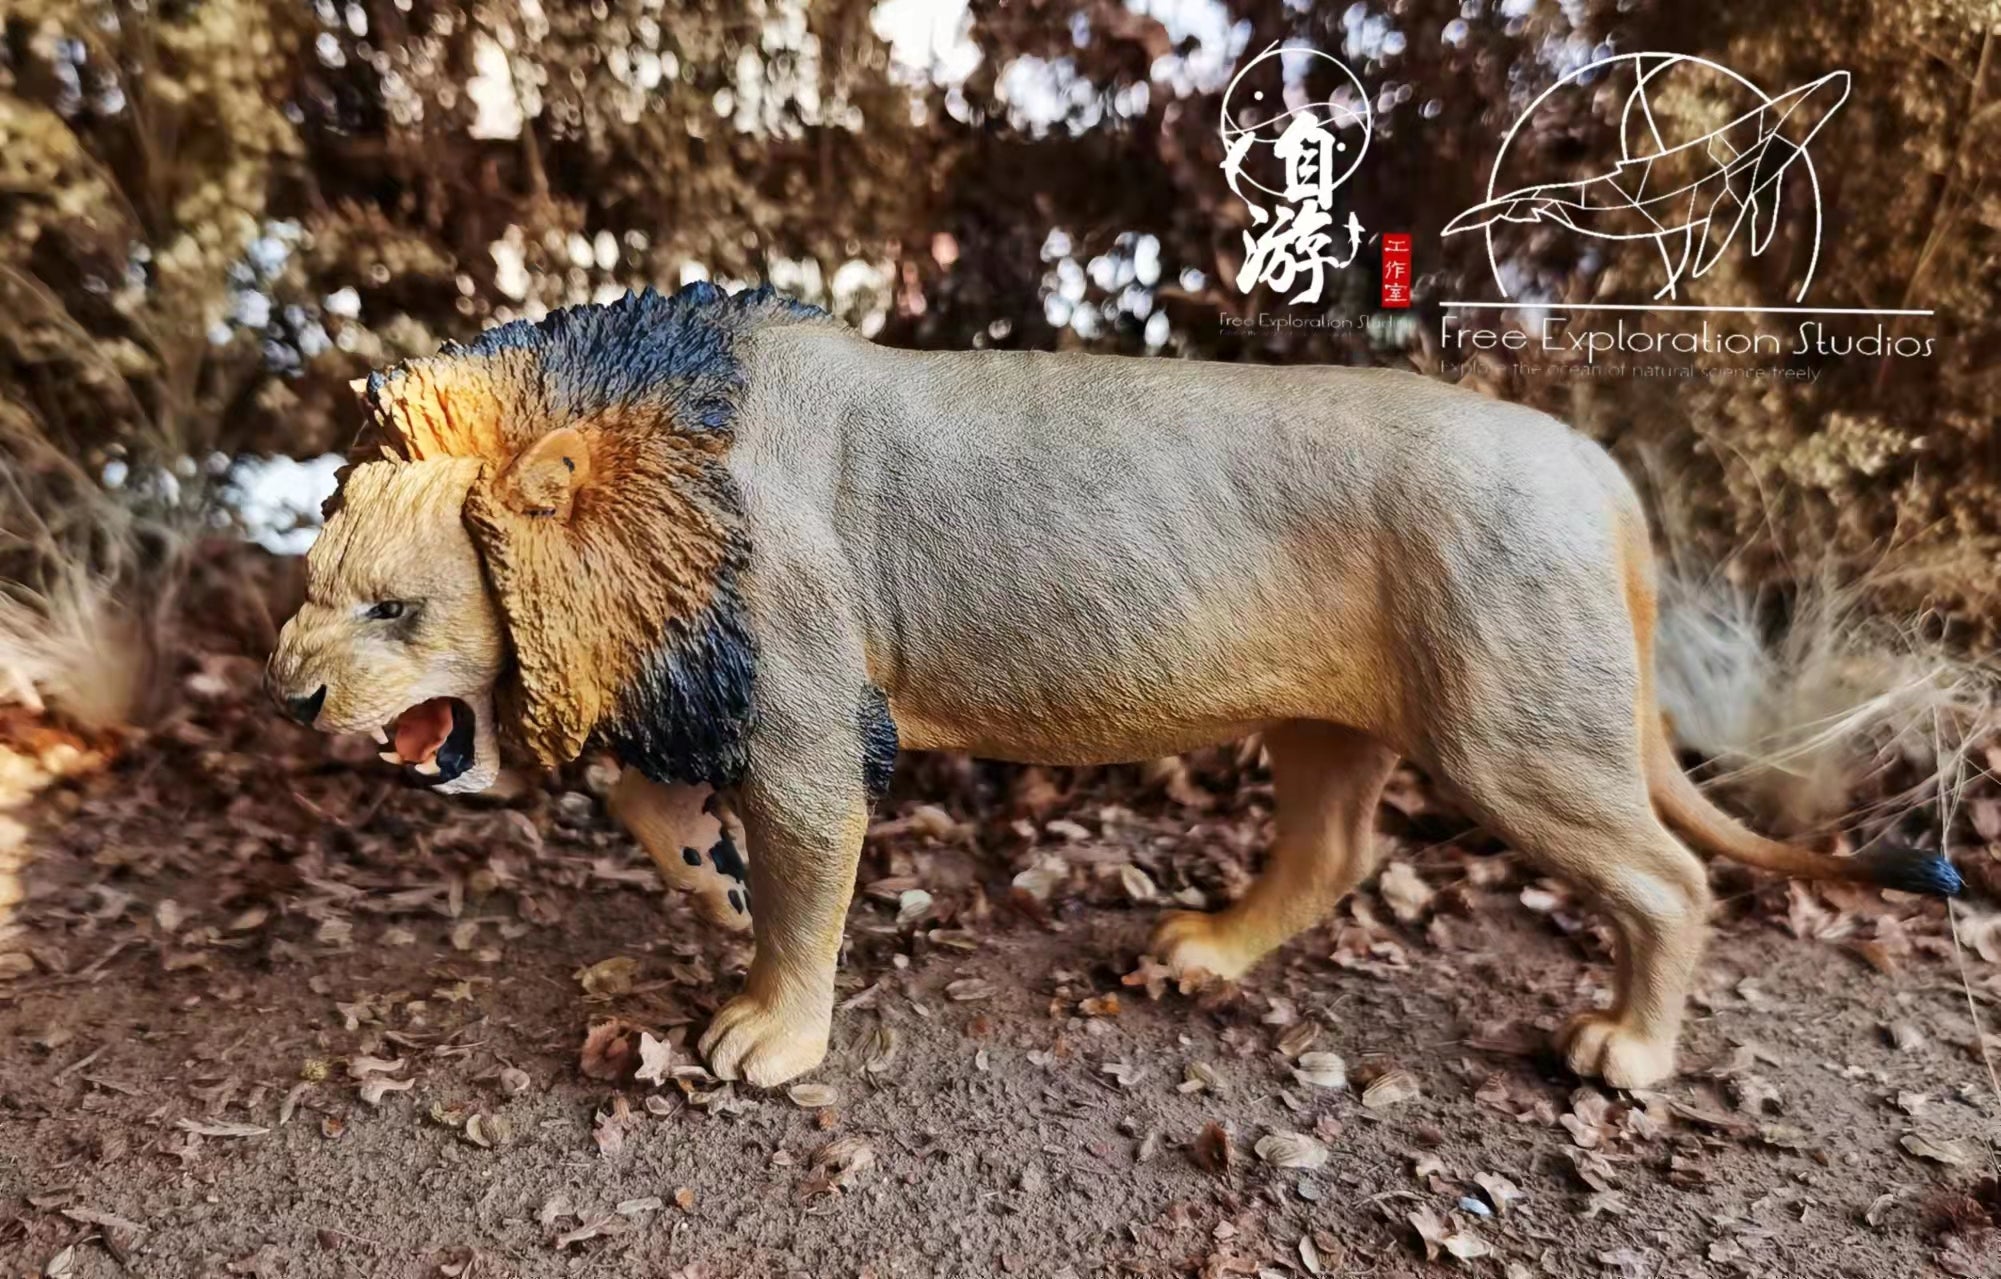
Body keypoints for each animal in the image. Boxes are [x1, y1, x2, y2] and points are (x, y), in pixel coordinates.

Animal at [268, 283, 1959, 1090]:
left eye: (397, 605)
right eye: (308, 580)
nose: (287, 693)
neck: (642, 487)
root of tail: (1596, 468)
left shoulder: (804, 723)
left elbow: (804, 894)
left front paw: (767, 1034)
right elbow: (674, 832)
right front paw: (708, 905)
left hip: (1512, 728)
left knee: (1670, 876)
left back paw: (1630, 1051)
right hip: (1333, 721)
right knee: (1333, 848)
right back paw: (1205, 955)